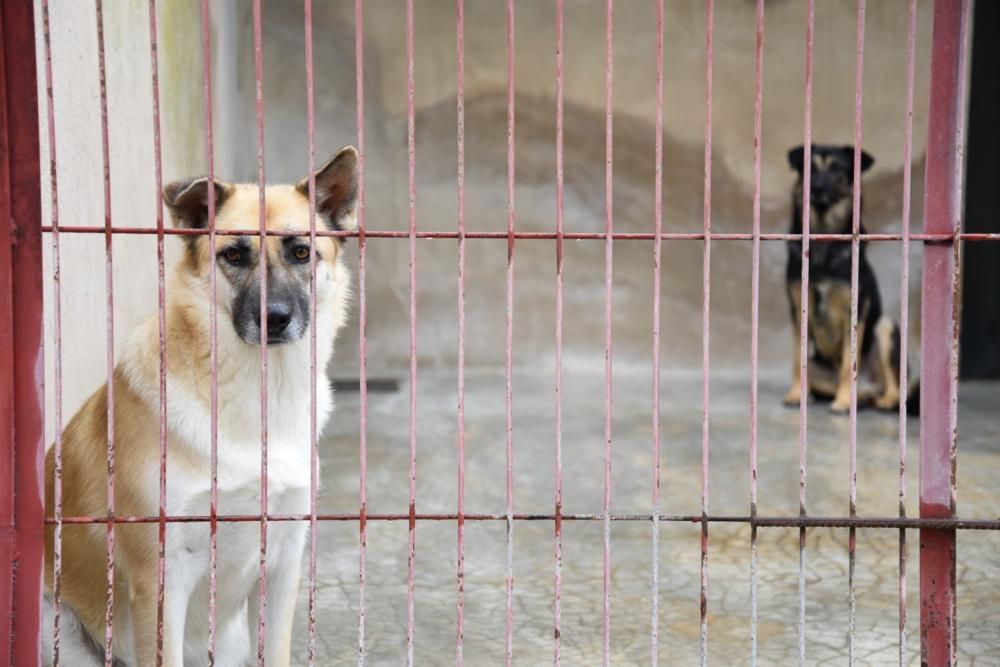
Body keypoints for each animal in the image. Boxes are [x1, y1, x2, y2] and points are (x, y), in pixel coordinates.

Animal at [46, 147, 364, 667]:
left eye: (301, 252)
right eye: (233, 254)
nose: (274, 318)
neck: (256, 395)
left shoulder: (282, 566)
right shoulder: (160, 579)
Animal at [780, 145, 916, 414]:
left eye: (838, 170)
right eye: (808, 168)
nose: (817, 188)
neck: (823, 239)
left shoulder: (855, 312)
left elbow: (846, 364)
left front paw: (843, 402)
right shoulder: (797, 311)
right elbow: (797, 360)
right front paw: (796, 395)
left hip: (884, 328)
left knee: (893, 388)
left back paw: (879, 400)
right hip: (818, 367)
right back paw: (857, 398)